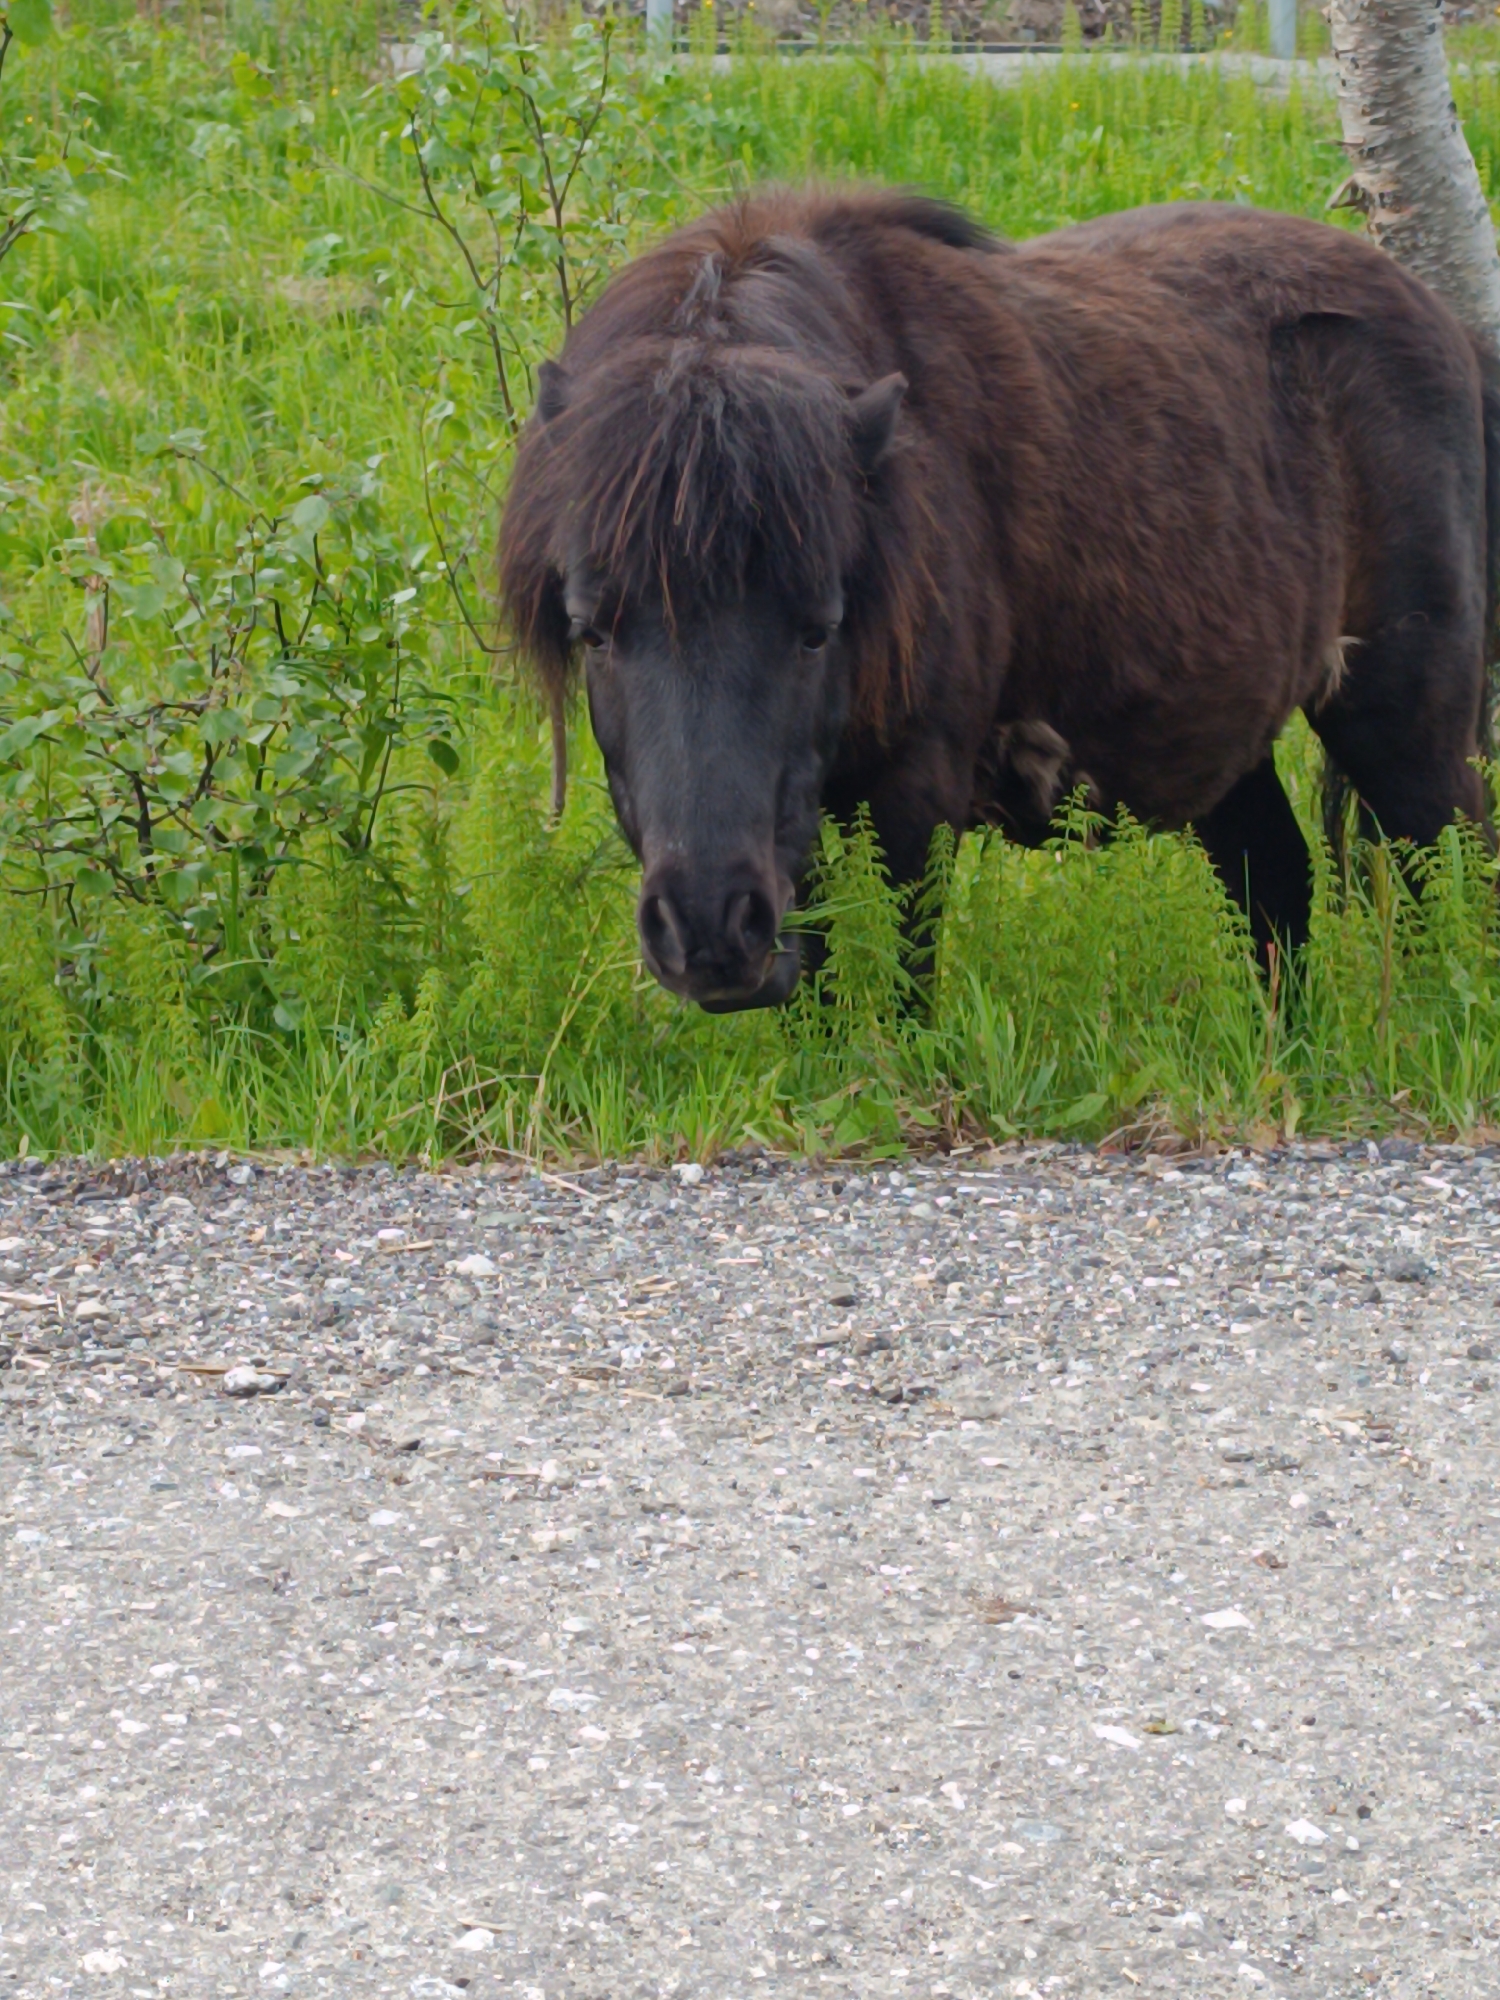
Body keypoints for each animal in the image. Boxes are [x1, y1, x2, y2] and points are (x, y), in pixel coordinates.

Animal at [499, 188, 1498, 1010]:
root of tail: (1446, 326)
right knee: (1276, 885)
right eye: (593, 631)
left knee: (1450, 870)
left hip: (1409, 722)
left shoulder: (913, 800)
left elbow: (905, 983)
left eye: (818, 631)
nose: (708, 932)